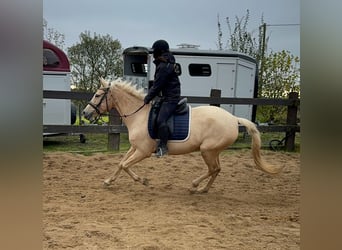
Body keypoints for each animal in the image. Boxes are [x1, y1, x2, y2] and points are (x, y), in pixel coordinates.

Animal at [83, 78, 280, 193]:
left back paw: (195, 186)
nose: (85, 114)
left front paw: (143, 180)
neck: (139, 115)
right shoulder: (135, 148)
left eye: (98, 95)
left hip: (207, 150)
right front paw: (108, 181)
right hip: (213, 151)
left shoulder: (143, 151)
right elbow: (120, 163)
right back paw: (203, 189)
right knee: (217, 169)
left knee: (213, 169)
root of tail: (233, 119)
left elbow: (125, 165)